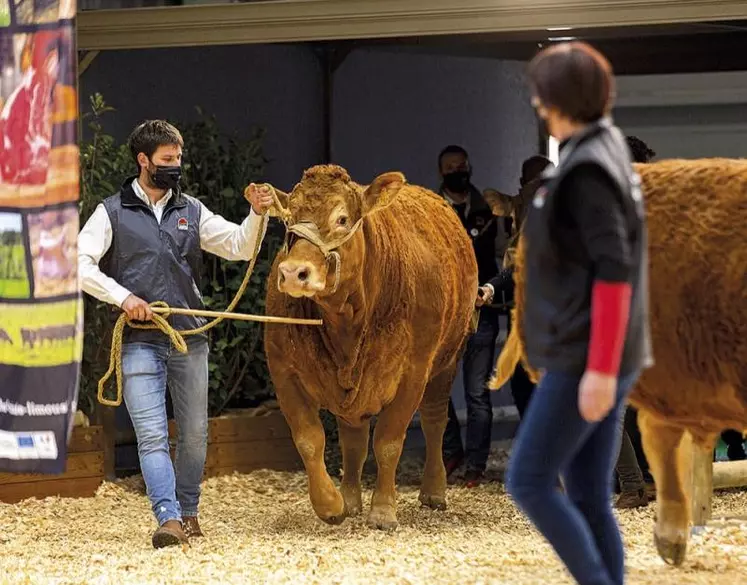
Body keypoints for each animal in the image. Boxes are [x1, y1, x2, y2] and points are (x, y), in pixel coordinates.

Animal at [262, 164, 476, 528]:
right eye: (289, 219)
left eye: (342, 219)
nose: (293, 273)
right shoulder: (283, 371)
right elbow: (309, 439)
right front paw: (330, 504)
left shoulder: (413, 372)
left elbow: (388, 441)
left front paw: (383, 510)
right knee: (354, 440)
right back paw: (349, 499)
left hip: (447, 361)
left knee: (434, 421)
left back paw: (434, 491)